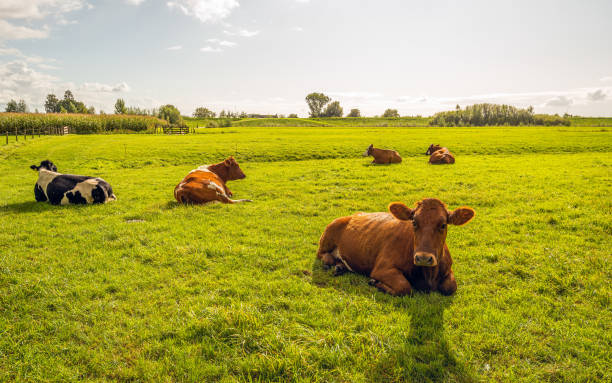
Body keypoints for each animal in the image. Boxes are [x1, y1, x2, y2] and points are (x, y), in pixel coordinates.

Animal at [318, 198, 476, 296]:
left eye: (443, 225)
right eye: (414, 222)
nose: (423, 258)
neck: (429, 276)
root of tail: (353, 214)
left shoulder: (448, 269)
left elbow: (450, 287)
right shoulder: (382, 268)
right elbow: (404, 287)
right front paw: (375, 282)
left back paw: (340, 267)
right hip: (327, 235)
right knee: (322, 255)